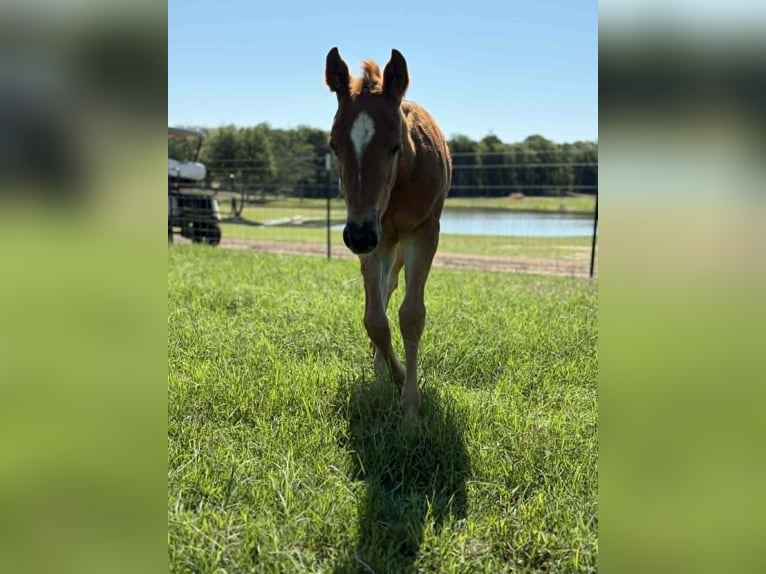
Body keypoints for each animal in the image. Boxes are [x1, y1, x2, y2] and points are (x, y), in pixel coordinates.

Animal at [325, 47, 452, 420]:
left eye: (395, 145)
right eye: (334, 144)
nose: (359, 235)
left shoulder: (424, 233)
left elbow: (411, 316)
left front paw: (410, 406)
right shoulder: (374, 238)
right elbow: (375, 319)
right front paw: (393, 375)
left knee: (391, 286)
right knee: (381, 292)